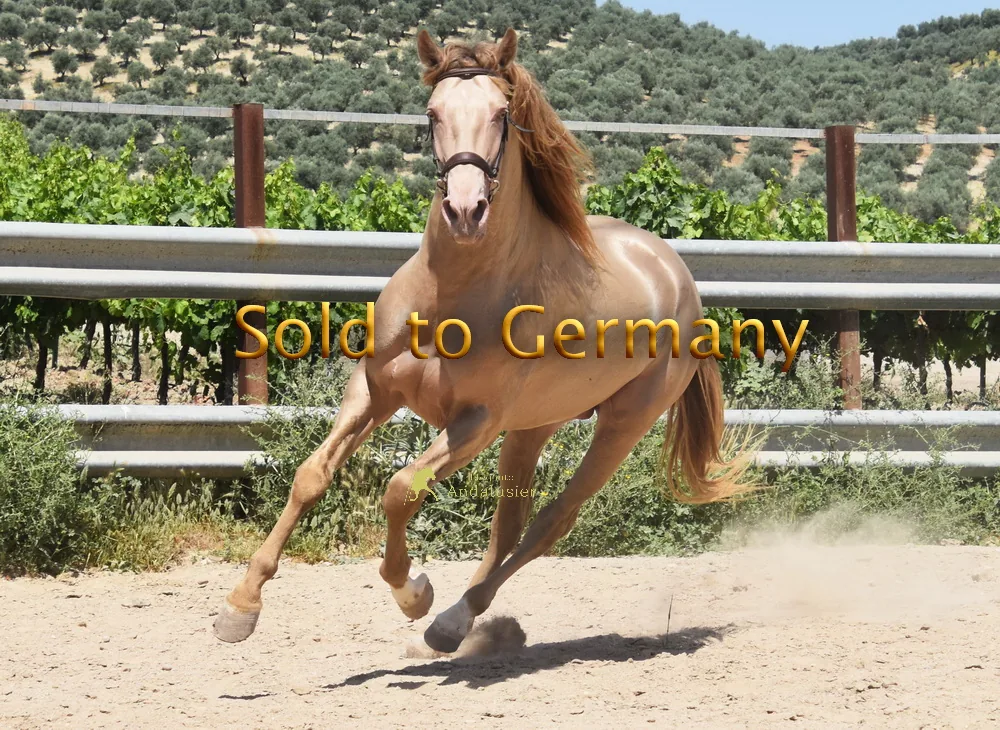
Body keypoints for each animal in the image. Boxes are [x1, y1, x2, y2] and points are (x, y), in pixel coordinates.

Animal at [213, 28, 755, 654]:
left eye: (501, 115)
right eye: (432, 113)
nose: (465, 210)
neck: (451, 297)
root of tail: (678, 275)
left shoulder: (475, 423)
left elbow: (402, 489)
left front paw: (413, 591)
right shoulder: (374, 392)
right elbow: (310, 477)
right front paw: (240, 607)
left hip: (622, 425)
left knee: (551, 522)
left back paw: (449, 621)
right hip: (535, 424)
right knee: (511, 523)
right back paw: (457, 623)